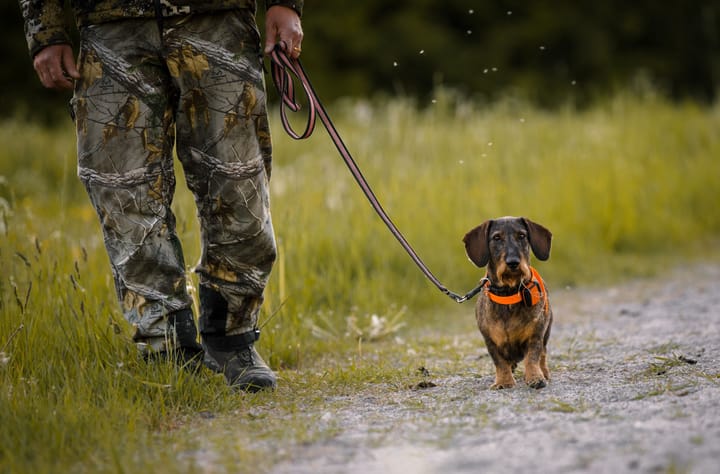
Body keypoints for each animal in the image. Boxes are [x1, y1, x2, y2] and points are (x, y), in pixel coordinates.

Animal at [464, 218, 556, 388]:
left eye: (521, 235)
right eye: (496, 238)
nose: (513, 262)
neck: (509, 294)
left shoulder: (535, 334)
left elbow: (532, 357)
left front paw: (535, 377)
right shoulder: (490, 340)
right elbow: (499, 362)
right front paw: (503, 381)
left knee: (543, 354)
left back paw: (544, 372)